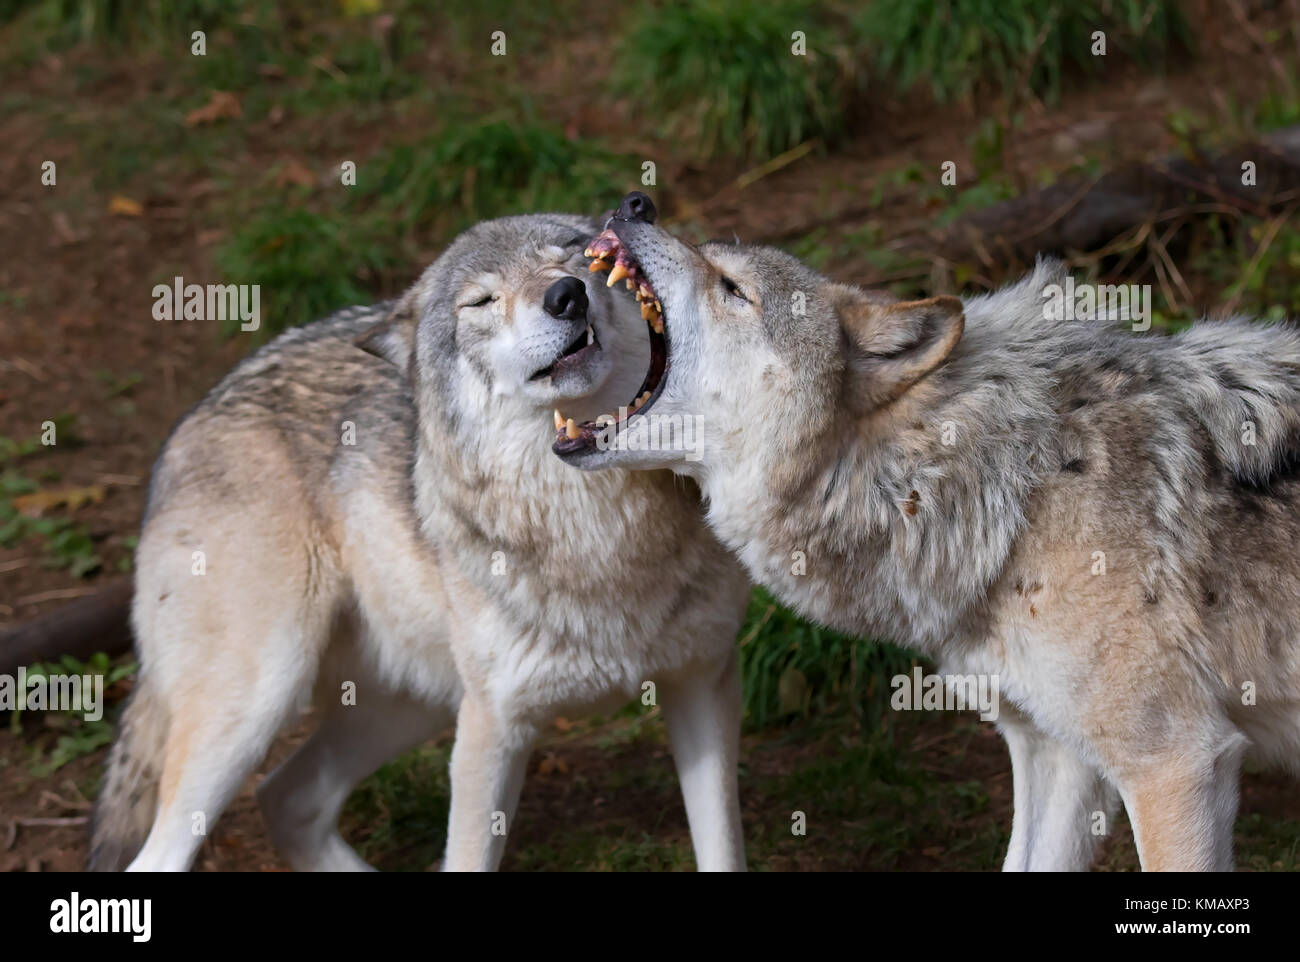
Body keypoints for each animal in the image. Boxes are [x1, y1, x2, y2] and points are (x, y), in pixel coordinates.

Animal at [91, 214, 754, 873]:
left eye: (576, 255)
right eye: (480, 301)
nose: (566, 295)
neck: (599, 523)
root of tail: (190, 422)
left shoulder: (704, 684)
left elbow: (724, 850)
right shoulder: (493, 728)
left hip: (412, 705)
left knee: (286, 797)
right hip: (256, 703)